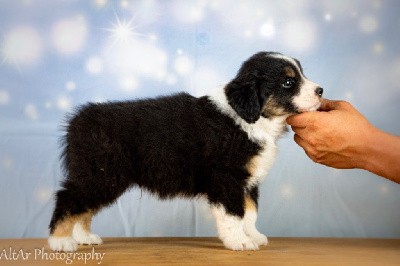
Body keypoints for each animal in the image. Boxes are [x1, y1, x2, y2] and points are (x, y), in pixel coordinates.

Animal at [48, 51, 324, 251]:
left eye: (302, 73)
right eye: (288, 82)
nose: (320, 90)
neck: (249, 118)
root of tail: (79, 121)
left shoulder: (248, 181)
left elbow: (250, 212)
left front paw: (254, 236)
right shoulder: (227, 179)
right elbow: (234, 214)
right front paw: (239, 242)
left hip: (102, 176)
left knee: (84, 207)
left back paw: (84, 237)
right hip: (102, 175)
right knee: (69, 199)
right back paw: (60, 241)